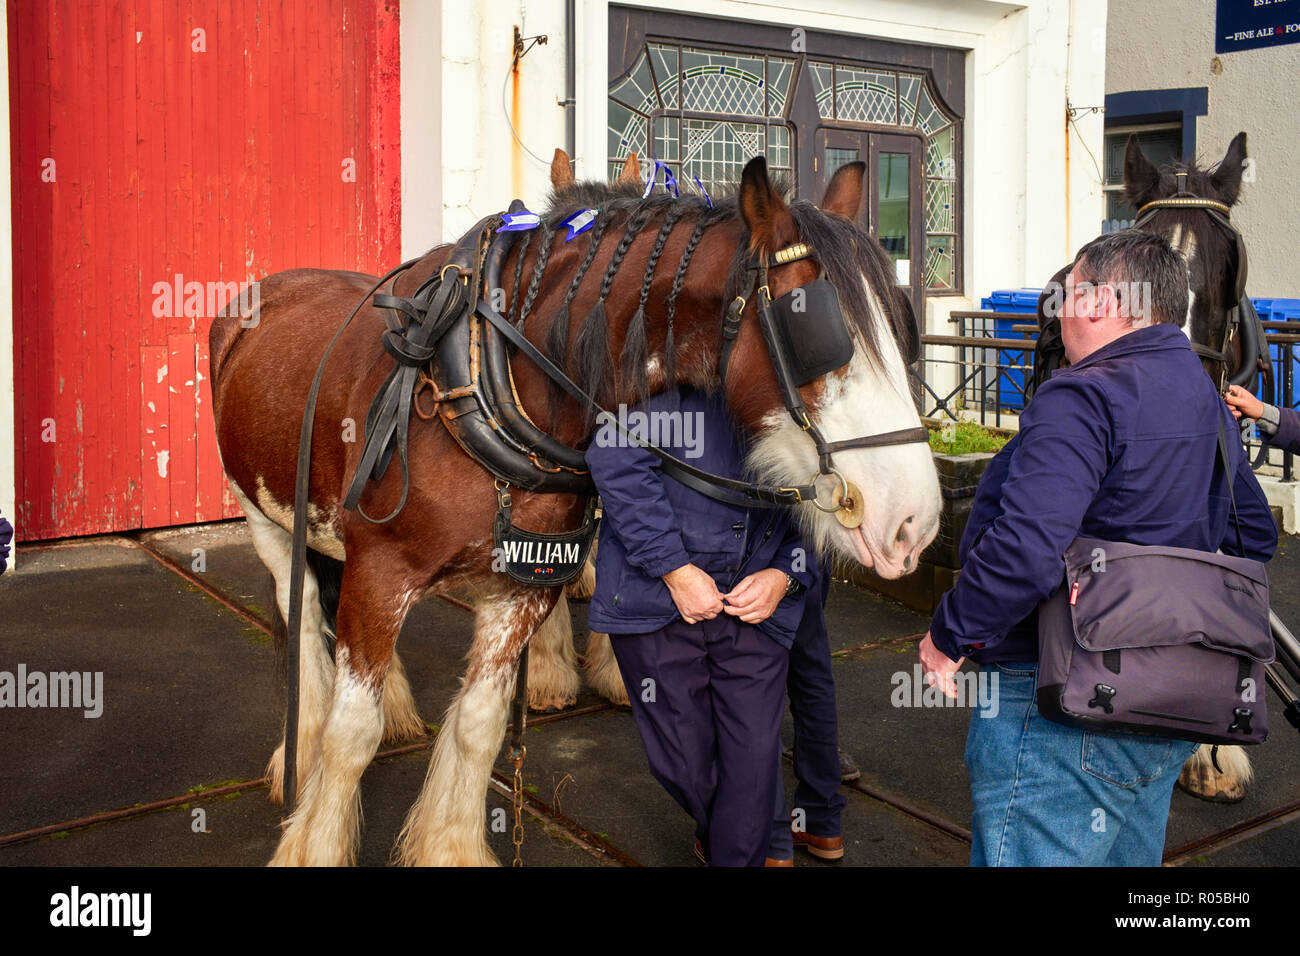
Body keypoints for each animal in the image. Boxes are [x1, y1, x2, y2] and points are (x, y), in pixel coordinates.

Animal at [213, 153, 946, 863]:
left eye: (902, 328)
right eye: (814, 328)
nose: (916, 523)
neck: (486, 377)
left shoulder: (519, 587)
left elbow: (479, 727)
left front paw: (451, 846)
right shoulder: (382, 573)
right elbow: (351, 735)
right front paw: (313, 845)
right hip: (267, 517)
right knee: (306, 619)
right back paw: (300, 752)